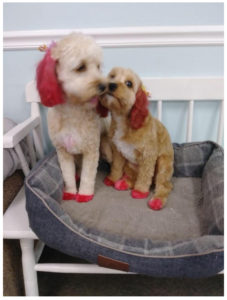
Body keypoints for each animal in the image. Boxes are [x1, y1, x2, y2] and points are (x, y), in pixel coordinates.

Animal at [36, 32, 108, 202]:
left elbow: (88, 176)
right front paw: (70, 192)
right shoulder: (63, 151)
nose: (104, 86)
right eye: (81, 67)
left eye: (98, 66)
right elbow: (67, 175)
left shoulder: (91, 150)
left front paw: (84, 194)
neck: (73, 110)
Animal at [101, 67, 174, 210]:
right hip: (130, 165)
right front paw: (113, 179)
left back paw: (157, 200)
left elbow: (144, 176)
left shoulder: (148, 155)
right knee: (132, 176)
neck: (123, 120)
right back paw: (124, 182)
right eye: (112, 76)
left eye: (129, 83)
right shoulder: (118, 152)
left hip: (163, 165)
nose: (111, 85)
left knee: (164, 185)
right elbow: (116, 166)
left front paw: (140, 191)